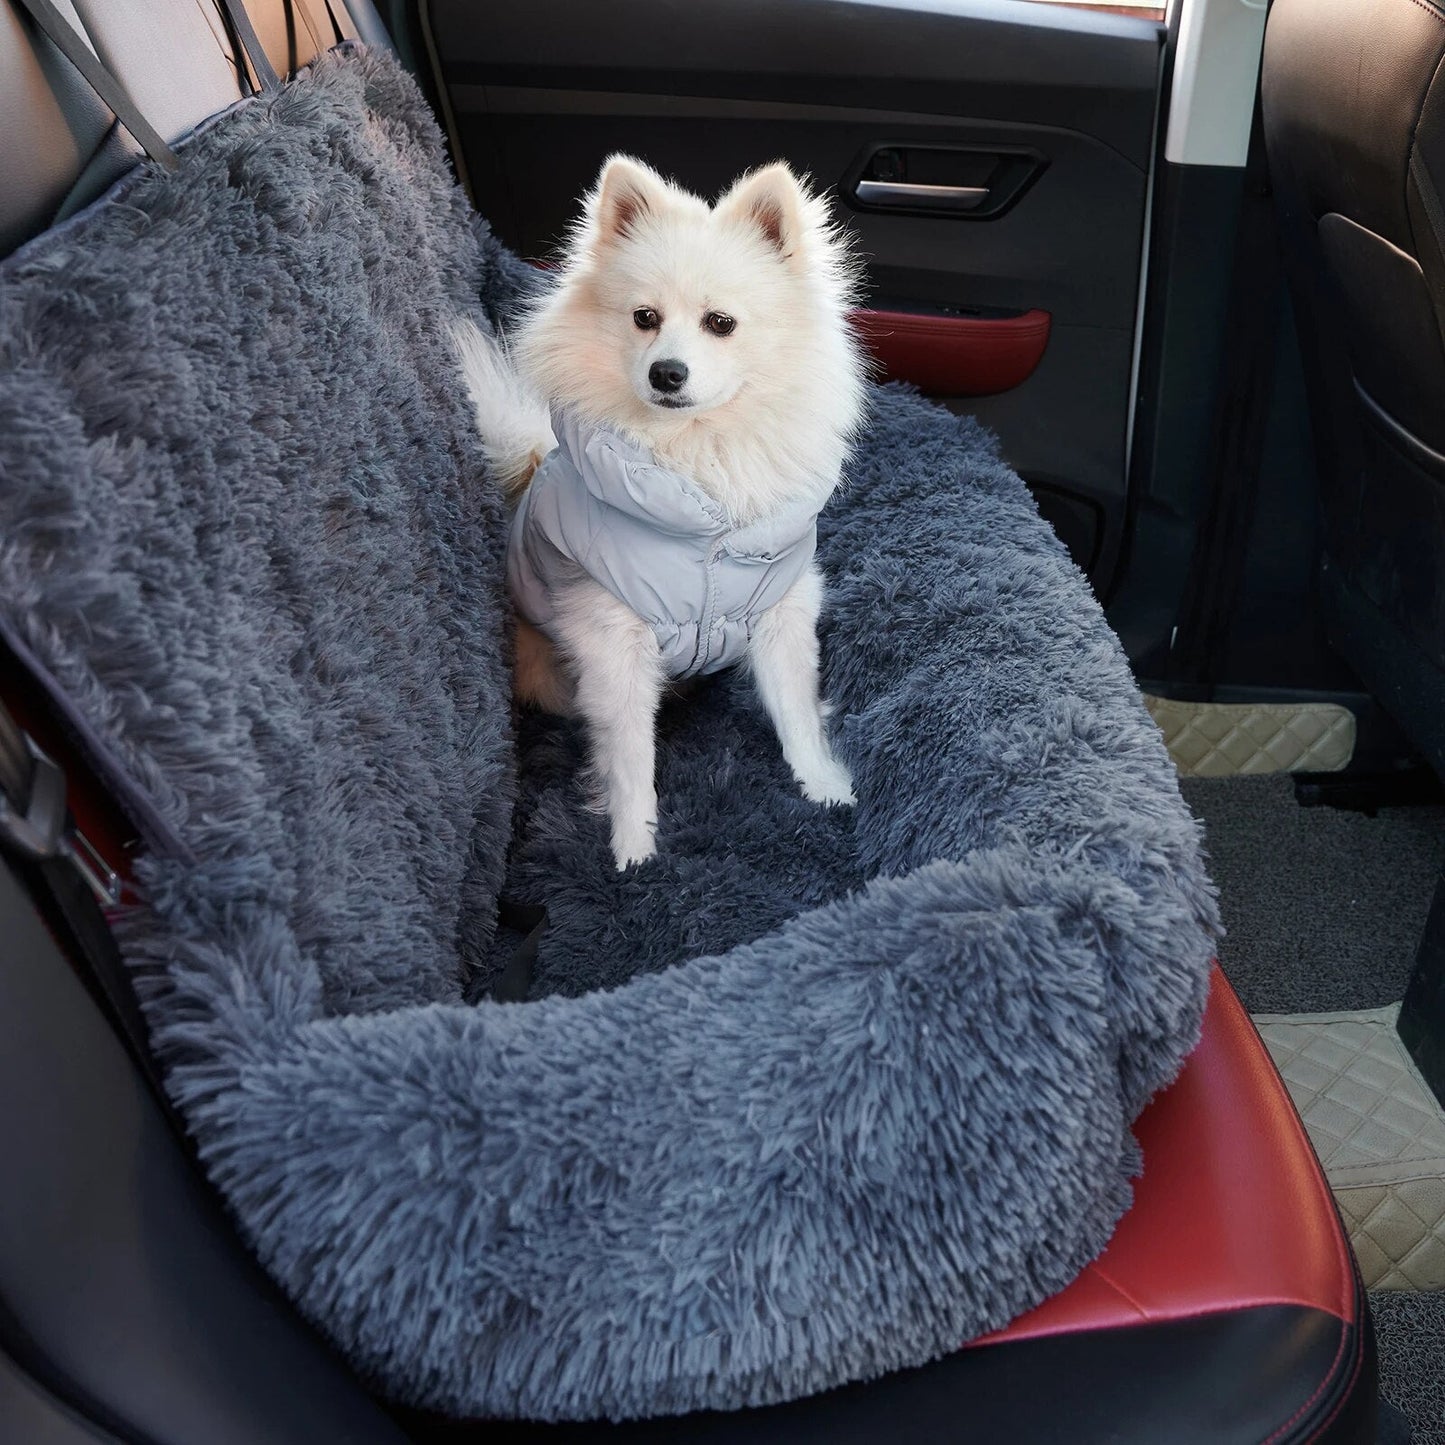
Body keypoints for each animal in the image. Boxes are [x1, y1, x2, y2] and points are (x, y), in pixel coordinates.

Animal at [450, 155, 861, 867]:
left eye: (720, 323)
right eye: (644, 317)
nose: (667, 372)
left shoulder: (779, 610)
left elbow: (797, 712)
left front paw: (824, 787)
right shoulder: (612, 639)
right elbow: (629, 756)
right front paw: (634, 848)